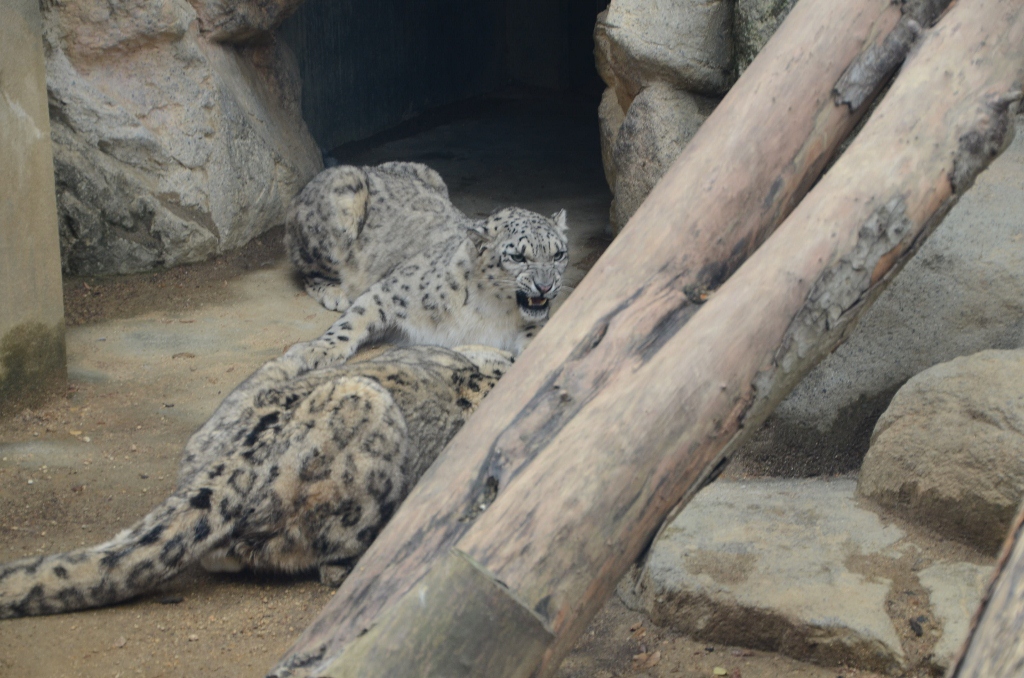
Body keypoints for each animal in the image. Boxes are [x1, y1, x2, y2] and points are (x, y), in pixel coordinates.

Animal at [282, 162, 569, 368]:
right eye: (518, 257)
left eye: (558, 254)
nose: (545, 286)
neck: (492, 310)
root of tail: (368, 166)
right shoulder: (387, 292)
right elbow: (353, 321)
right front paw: (312, 351)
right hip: (338, 211)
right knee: (307, 269)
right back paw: (335, 293)